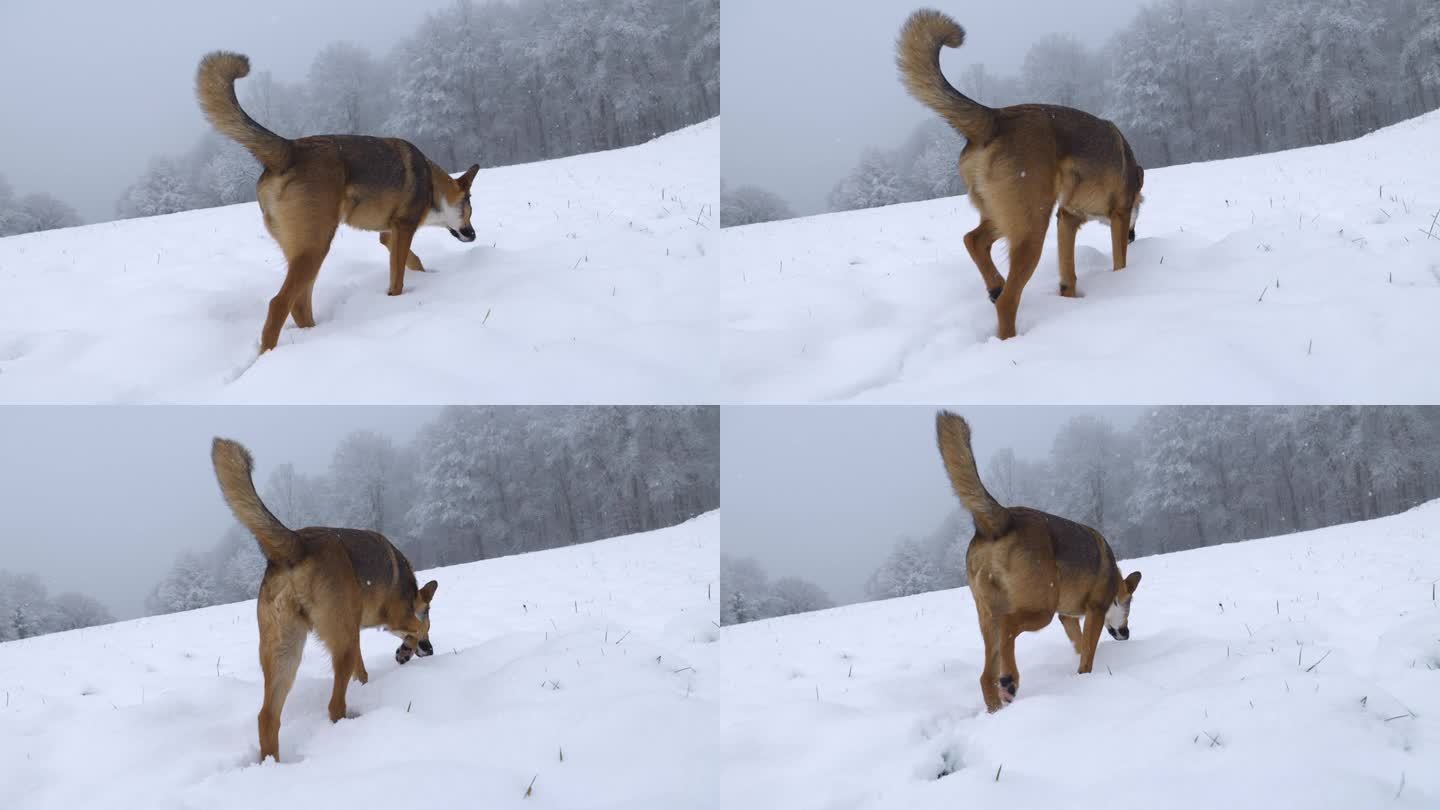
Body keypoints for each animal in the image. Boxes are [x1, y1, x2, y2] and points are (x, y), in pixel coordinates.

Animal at [195, 52, 483, 350]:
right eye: (469, 208)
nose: (473, 234)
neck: (432, 183)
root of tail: (289, 149)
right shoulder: (404, 228)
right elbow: (398, 277)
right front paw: (397, 297)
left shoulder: (389, 234)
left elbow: (411, 261)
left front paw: (424, 275)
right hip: (316, 246)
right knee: (279, 303)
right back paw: (271, 353)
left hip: (304, 250)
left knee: (299, 304)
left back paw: (315, 335)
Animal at [207, 435, 432, 755]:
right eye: (430, 618)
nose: (431, 650)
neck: (411, 590)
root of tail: (297, 544)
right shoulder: (392, 618)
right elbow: (412, 627)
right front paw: (407, 648)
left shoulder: (354, 632)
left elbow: (363, 669)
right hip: (336, 644)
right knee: (333, 706)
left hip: (285, 650)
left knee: (267, 717)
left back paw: (272, 762)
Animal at [898, 10, 1146, 337]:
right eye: (1139, 210)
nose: (1133, 236)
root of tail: (995, 118)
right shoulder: (1117, 214)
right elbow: (1120, 262)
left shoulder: (1067, 218)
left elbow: (1068, 274)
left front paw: (1069, 298)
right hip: (1031, 225)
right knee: (1007, 299)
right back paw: (1008, 334)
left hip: (1009, 215)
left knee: (973, 240)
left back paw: (995, 285)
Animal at [933, 412, 1146, 709]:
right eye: (1129, 605)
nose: (1126, 634)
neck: (1114, 579)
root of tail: (1000, 520)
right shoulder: (1094, 610)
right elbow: (1088, 652)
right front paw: (1085, 677)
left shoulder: (1067, 617)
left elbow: (1081, 644)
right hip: (1040, 608)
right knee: (1009, 627)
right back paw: (1009, 680)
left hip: (989, 615)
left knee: (986, 676)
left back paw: (998, 706)